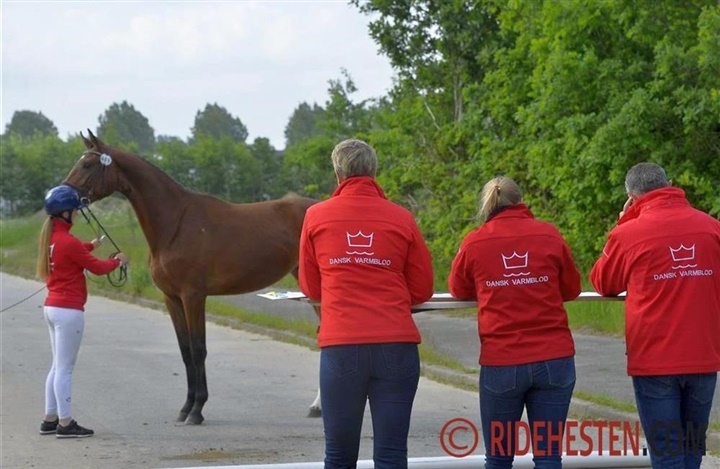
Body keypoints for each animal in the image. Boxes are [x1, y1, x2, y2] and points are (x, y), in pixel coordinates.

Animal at [64, 129, 324, 424]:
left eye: (87, 164)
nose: (63, 194)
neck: (175, 223)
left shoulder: (193, 297)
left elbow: (199, 349)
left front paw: (197, 410)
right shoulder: (172, 298)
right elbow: (186, 351)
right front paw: (186, 408)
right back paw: (316, 407)